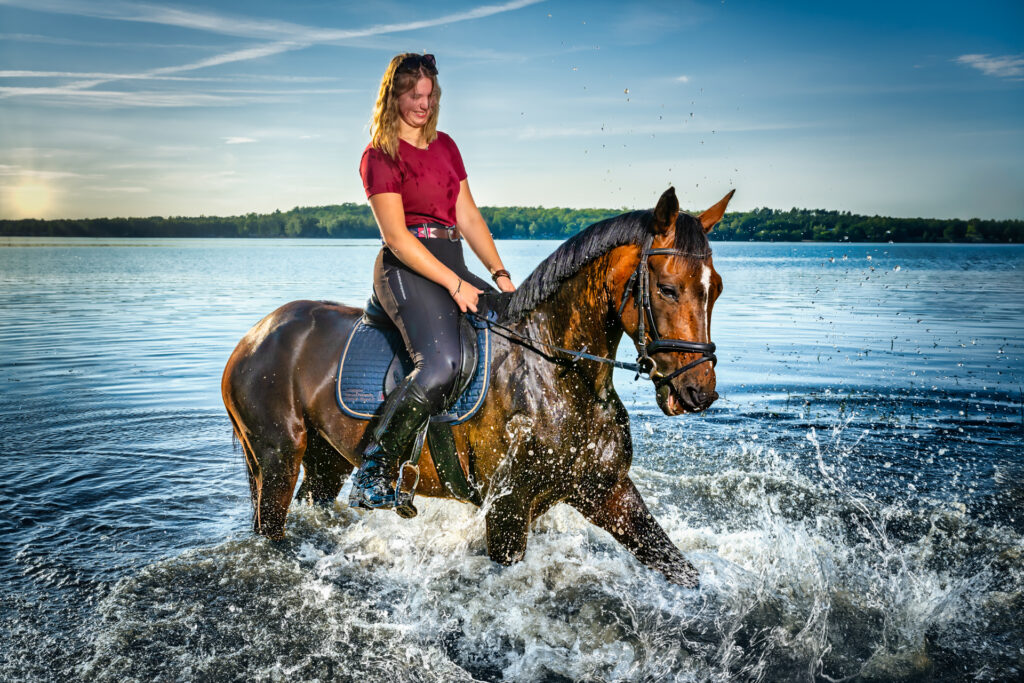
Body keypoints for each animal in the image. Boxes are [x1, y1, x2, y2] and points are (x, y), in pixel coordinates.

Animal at [222, 185, 737, 589]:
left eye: (715, 288)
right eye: (667, 288)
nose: (698, 392)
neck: (557, 371)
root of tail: (253, 336)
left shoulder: (607, 491)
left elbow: (680, 569)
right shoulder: (508, 508)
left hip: (326, 461)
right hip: (277, 458)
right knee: (271, 528)